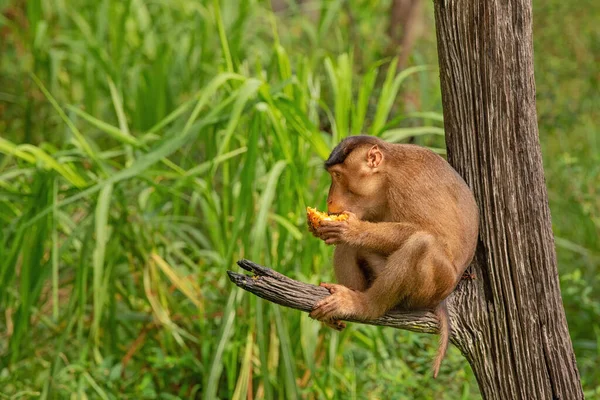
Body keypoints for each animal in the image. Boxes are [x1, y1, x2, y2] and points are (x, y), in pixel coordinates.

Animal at [310, 134, 478, 378]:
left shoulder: (409, 185)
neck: (386, 175)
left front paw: (353, 230)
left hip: (431, 290)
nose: (329, 201)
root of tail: (442, 299)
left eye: (338, 175)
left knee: (422, 243)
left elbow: (432, 233)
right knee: (351, 248)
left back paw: (363, 306)